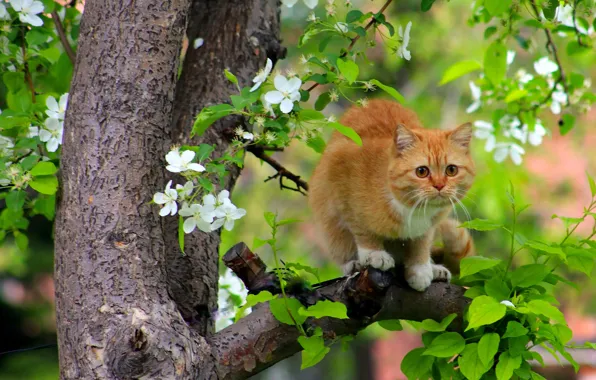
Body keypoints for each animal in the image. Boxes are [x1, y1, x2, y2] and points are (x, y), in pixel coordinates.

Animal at [310, 98, 478, 290]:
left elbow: (421, 242)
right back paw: (354, 264)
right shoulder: (340, 181)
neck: (412, 208)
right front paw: (374, 254)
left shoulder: (430, 225)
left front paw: (420, 267)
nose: (439, 185)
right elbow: (361, 228)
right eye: (422, 171)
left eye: (451, 170)